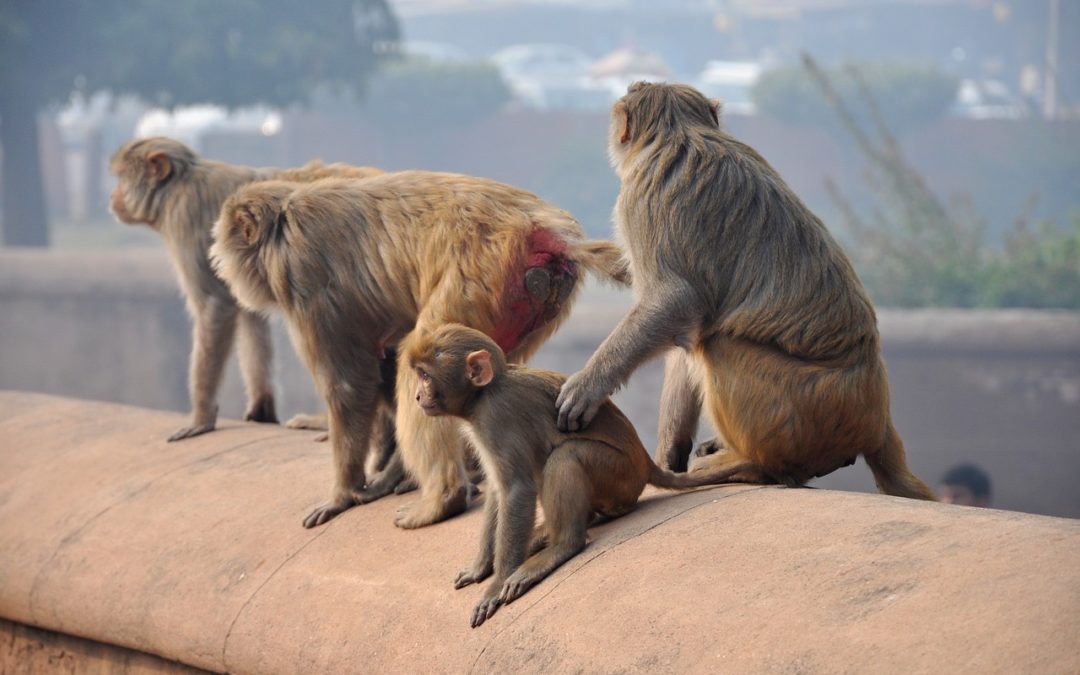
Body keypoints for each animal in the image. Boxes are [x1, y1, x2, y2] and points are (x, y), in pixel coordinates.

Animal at [108, 137, 384, 442]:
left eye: (122, 177)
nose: (112, 196)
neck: (178, 185)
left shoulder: (185, 218)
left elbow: (215, 305)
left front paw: (201, 417)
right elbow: (250, 314)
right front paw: (262, 408)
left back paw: (327, 421)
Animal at [210, 170, 630, 529]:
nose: (218, 262)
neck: (285, 218)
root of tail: (545, 229)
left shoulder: (301, 276)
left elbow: (349, 385)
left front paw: (342, 493)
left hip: (479, 275)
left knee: (422, 354)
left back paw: (443, 498)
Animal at [406, 321, 751, 626]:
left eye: (425, 376)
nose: (418, 397)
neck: (483, 394)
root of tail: (644, 461)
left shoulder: (496, 417)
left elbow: (516, 489)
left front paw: (495, 583)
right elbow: (497, 489)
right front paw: (480, 567)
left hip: (619, 475)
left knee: (565, 455)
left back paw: (562, 546)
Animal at [557, 80, 937, 501]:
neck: (680, 130)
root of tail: (876, 420)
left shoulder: (642, 196)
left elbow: (673, 301)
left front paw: (587, 386)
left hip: (805, 412)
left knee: (717, 343)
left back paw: (755, 465)